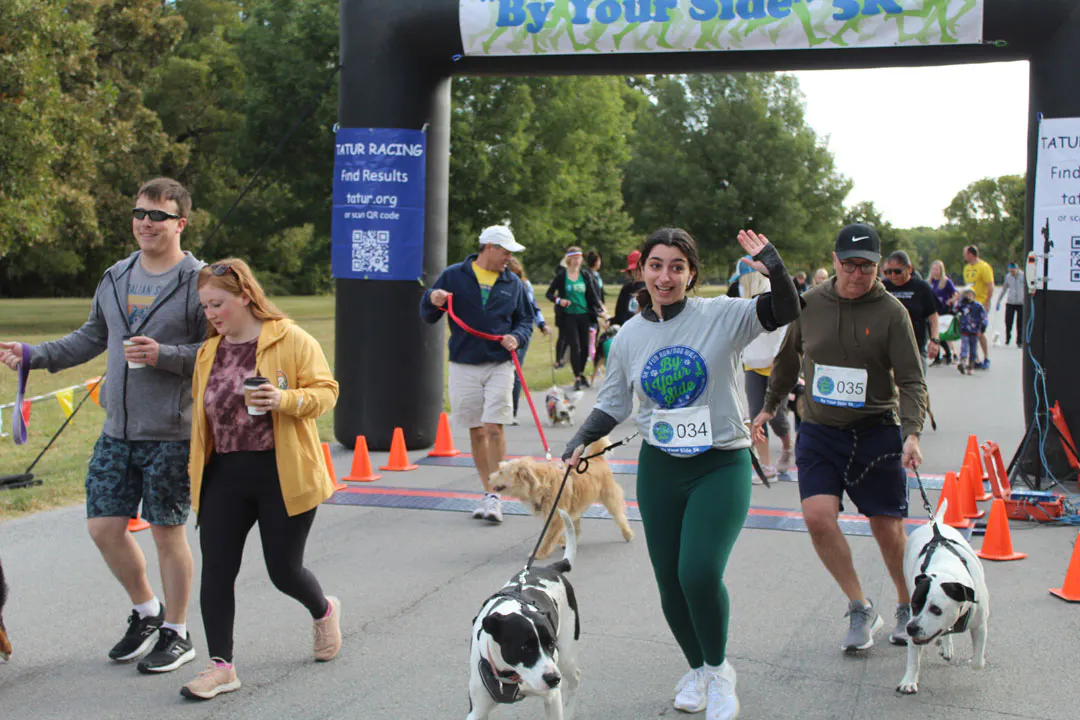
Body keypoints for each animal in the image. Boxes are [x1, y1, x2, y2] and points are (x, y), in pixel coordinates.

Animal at [466, 509, 578, 716]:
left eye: (551, 644)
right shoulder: (477, 710)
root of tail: (551, 568)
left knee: (575, 678)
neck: (510, 674)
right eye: (524, 647)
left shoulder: (552, 698)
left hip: (566, 655)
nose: (553, 678)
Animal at [490, 436, 630, 561]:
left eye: (501, 472)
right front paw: (562, 541)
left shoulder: (556, 517)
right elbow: (553, 534)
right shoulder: (552, 516)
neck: (544, 485)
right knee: (576, 528)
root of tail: (597, 459)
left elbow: (548, 537)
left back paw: (627, 533)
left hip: (610, 498)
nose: (488, 478)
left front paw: (539, 553)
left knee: (619, 516)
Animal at [898, 500, 989, 690]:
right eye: (914, 605)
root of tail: (935, 523)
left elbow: (977, 662)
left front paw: (975, 661)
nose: (911, 628)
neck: (948, 571)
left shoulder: (980, 625)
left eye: (936, 610)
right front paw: (909, 681)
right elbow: (913, 657)